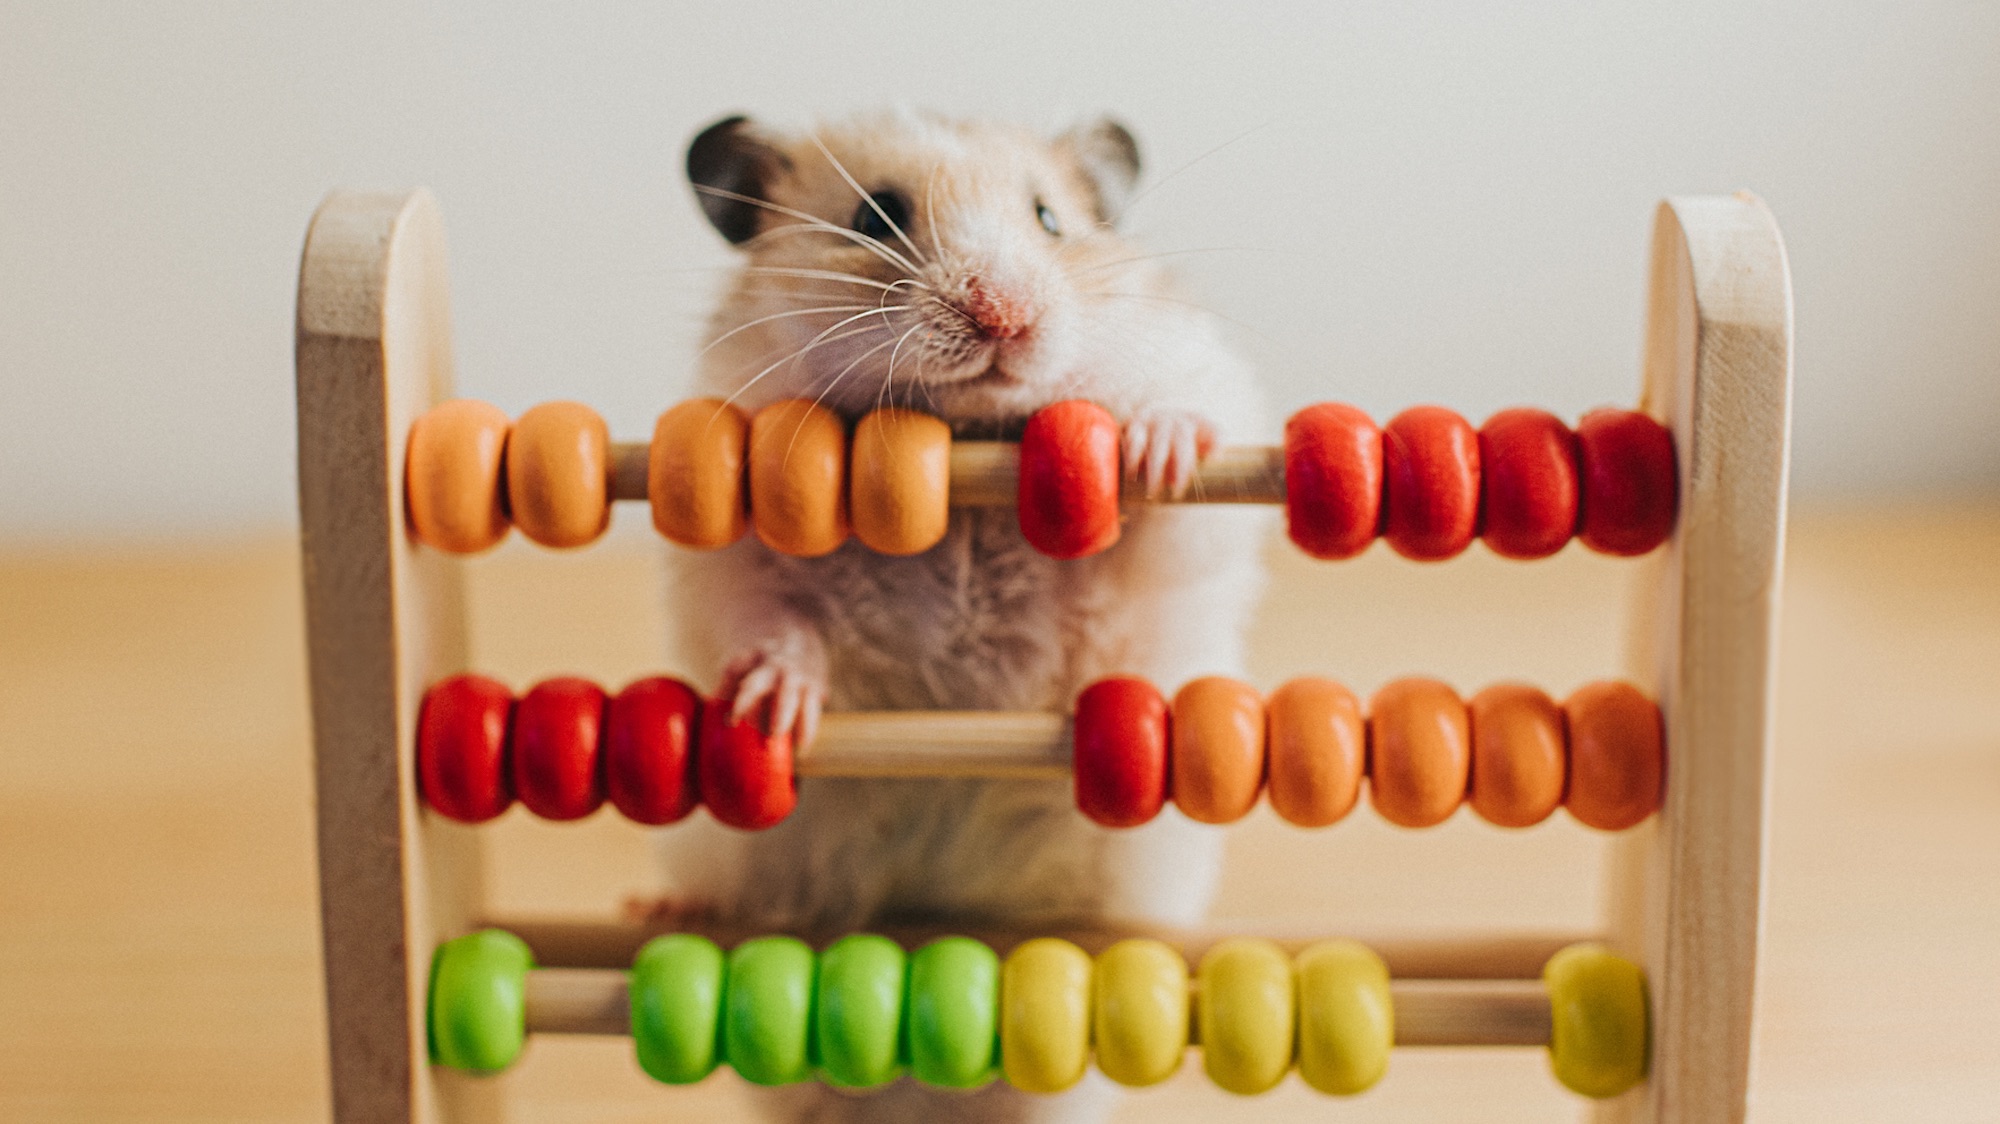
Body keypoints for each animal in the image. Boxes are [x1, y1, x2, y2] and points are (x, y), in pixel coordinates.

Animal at [657, 109, 1271, 1122]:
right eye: (874, 216)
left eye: (1051, 220)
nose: (1004, 315)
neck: (965, 440)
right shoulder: (724, 536)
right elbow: (768, 615)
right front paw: (773, 705)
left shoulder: (1194, 510)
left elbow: (1178, 495)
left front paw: (1159, 444)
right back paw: (669, 911)